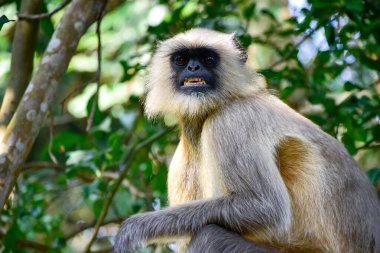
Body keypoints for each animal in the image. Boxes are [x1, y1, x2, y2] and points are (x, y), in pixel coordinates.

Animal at [113, 28, 380, 253]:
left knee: (209, 236)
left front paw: (133, 229)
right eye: (181, 59)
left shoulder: (231, 121)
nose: (193, 67)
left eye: (208, 58)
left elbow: (267, 208)